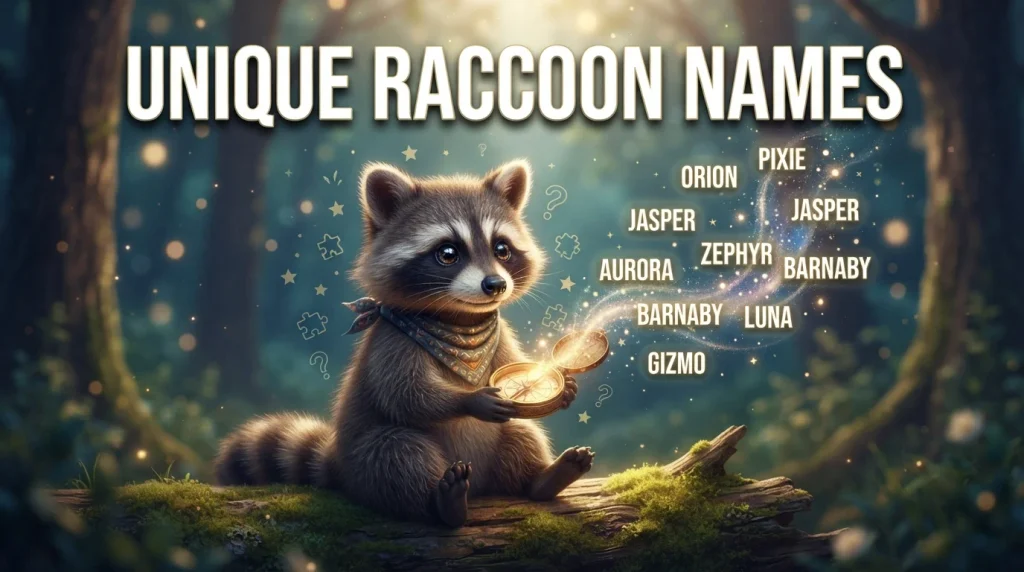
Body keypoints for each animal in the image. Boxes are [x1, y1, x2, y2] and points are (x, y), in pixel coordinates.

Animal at [215, 160, 594, 527]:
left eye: (501, 248)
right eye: (448, 253)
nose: (495, 285)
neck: (460, 320)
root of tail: (339, 465)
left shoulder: (500, 335)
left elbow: (511, 367)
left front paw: (564, 386)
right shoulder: (391, 341)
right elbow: (404, 394)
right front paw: (468, 399)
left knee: (521, 432)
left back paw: (542, 480)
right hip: (367, 457)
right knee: (397, 453)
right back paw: (443, 505)